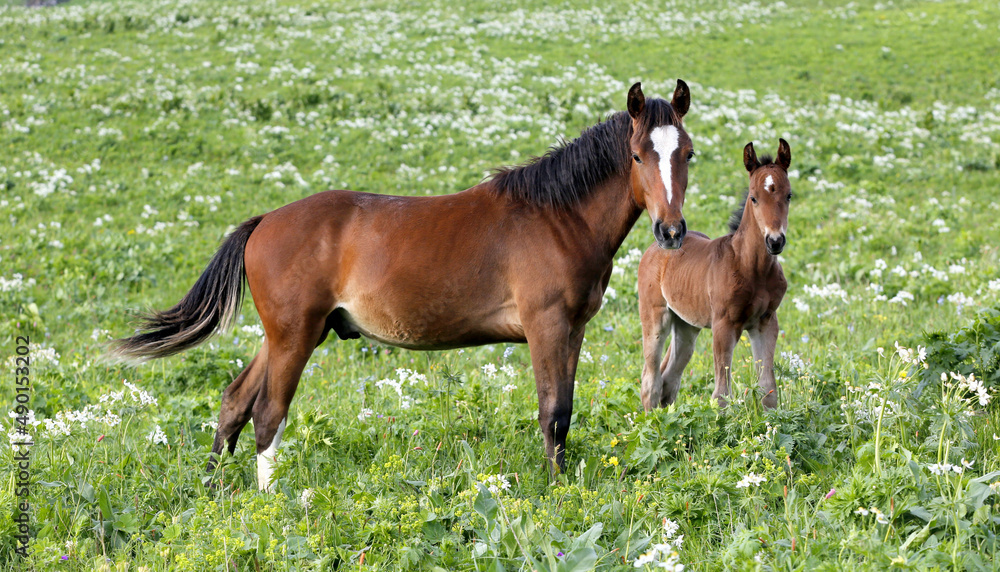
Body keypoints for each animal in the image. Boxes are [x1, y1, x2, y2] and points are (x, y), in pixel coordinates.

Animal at [111, 81, 696, 492]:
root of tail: (263, 222)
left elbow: (565, 413)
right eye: (638, 155)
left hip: (286, 336)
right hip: (293, 338)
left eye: (687, 153)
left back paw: (210, 486)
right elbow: (551, 414)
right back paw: (268, 499)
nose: (671, 231)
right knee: (267, 415)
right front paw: (555, 491)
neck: (556, 217)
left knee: (234, 402)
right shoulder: (546, 327)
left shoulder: (572, 330)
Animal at [640, 141, 788, 414]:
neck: (753, 268)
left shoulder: (765, 322)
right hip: (655, 316)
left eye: (789, 196)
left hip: (686, 325)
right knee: (650, 378)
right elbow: (721, 394)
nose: (775, 241)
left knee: (669, 378)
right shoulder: (723, 324)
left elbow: (768, 389)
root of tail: (659, 244)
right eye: (754, 198)